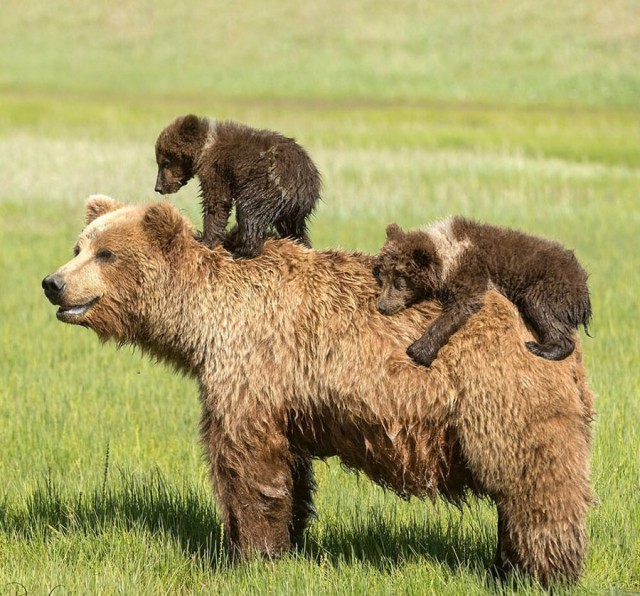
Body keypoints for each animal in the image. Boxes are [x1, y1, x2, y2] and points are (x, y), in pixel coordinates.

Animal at [153, 115, 322, 258]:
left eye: (165, 162)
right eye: (160, 162)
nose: (158, 188)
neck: (204, 149)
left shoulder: (216, 169)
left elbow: (217, 201)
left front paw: (205, 240)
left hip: (266, 186)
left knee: (249, 213)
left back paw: (242, 250)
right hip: (292, 209)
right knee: (294, 229)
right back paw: (302, 245)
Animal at [372, 219, 592, 368]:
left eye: (399, 282)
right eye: (383, 276)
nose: (382, 306)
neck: (447, 257)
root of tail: (583, 283)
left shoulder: (470, 270)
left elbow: (461, 306)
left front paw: (419, 350)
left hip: (551, 285)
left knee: (542, 309)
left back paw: (541, 347)